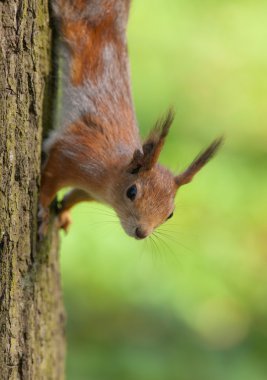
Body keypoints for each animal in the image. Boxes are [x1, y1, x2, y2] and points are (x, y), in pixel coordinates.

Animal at [39, 0, 223, 240]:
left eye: (170, 214)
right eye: (132, 191)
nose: (141, 233)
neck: (109, 178)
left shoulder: (88, 191)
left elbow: (74, 196)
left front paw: (64, 213)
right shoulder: (73, 154)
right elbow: (51, 176)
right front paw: (43, 209)